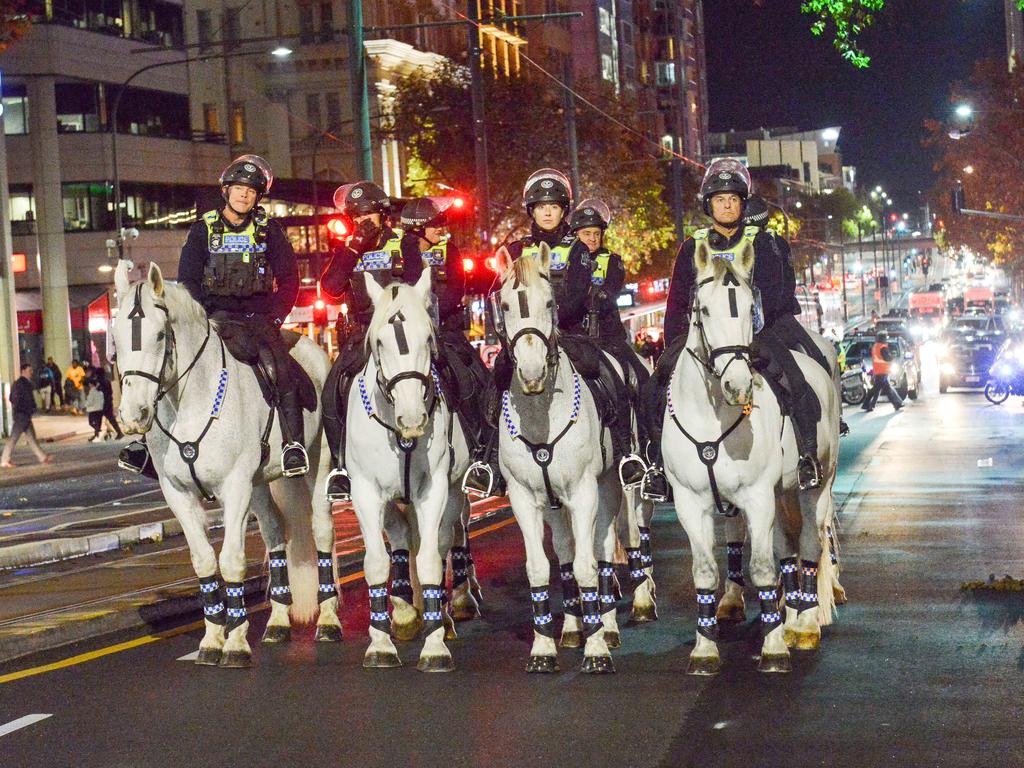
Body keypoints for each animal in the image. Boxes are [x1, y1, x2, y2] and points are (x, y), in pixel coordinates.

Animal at [113, 260, 339, 667]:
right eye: (116, 338)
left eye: (159, 335)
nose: (133, 414)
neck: (190, 401)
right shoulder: (179, 494)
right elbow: (204, 561)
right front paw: (213, 638)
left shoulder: (234, 488)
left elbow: (231, 560)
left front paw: (234, 644)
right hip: (260, 482)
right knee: (275, 532)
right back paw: (278, 622)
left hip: (318, 464)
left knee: (322, 529)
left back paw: (329, 620)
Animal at [344, 272, 471, 671]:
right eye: (379, 342)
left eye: (427, 338)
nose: (412, 418)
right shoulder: (366, 492)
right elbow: (375, 563)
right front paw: (381, 644)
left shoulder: (433, 490)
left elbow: (430, 560)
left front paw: (434, 647)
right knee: (399, 537)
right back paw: (403, 613)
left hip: (451, 493)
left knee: (442, 540)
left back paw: (441, 617)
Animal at [493, 246, 626, 671]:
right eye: (505, 305)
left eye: (549, 302)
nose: (532, 373)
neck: (540, 415)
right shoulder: (523, 498)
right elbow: (540, 568)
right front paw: (543, 649)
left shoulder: (584, 492)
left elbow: (588, 564)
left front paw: (596, 650)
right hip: (552, 504)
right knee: (566, 552)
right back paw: (570, 628)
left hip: (608, 487)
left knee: (602, 547)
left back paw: (608, 626)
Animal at [663, 243, 839, 675]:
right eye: (703, 310)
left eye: (747, 307)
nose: (738, 384)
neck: (713, 419)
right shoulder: (691, 502)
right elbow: (705, 571)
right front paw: (704, 650)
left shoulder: (757, 497)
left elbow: (761, 567)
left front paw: (773, 648)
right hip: (780, 493)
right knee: (787, 547)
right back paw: (791, 618)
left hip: (816, 485)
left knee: (809, 542)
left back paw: (805, 623)